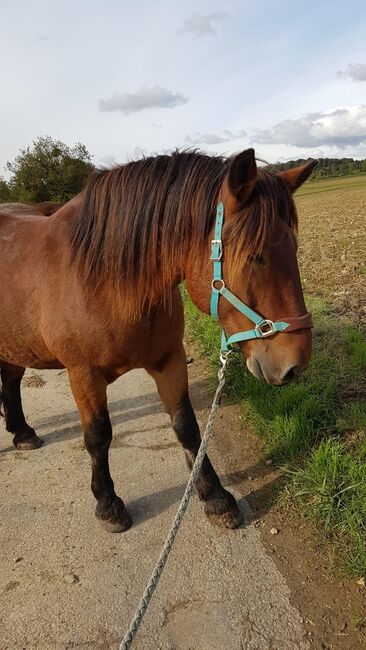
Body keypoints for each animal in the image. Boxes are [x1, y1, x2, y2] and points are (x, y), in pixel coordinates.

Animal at [0, 148, 314, 532]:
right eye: (256, 256)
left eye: (294, 248)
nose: (295, 362)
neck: (101, 280)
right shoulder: (83, 374)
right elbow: (98, 435)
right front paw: (108, 503)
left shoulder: (170, 360)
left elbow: (186, 426)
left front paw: (215, 496)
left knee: (11, 379)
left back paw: (22, 432)